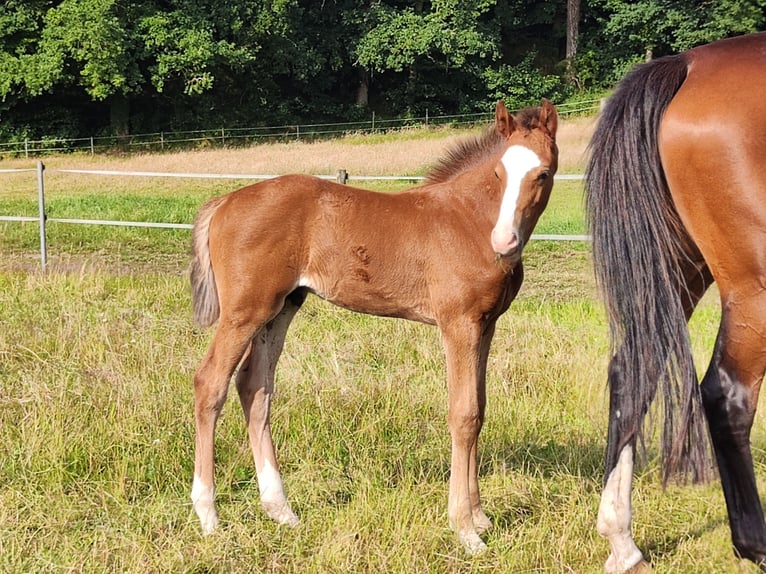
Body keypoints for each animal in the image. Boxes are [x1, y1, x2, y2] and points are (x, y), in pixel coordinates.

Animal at [188, 100, 559, 553]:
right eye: (498, 174)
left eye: (543, 173)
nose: (504, 242)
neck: (469, 221)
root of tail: (224, 201)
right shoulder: (459, 324)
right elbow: (464, 413)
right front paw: (466, 530)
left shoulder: (486, 326)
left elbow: (480, 409)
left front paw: (481, 517)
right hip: (244, 311)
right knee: (211, 383)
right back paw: (209, 515)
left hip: (281, 308)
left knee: (254, 386)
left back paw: (281, 510)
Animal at [585, 32, 766, 572]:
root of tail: (687, 64)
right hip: (752, 286)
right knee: (727, 396)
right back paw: (755, 544)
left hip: (674, 267)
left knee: (632, 370)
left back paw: (621, 541)